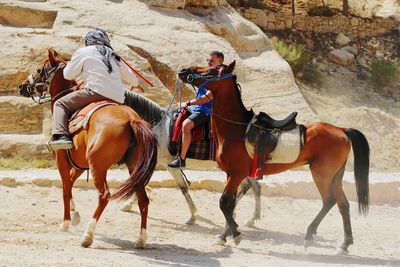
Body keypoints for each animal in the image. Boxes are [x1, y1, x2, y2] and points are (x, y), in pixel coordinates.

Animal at [18, 49, 158, 250]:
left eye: (39, 69)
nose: (22, 86)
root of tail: (132, 119)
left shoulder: (62, 159)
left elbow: (65, 187)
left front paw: (66, 222)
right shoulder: (79, 164)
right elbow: (69, 183)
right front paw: (75, 215)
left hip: (98, 167)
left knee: (104, 196)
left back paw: (88, 235)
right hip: (133, 168)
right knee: (143, 200)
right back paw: (141, 239)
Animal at [177, 62, 370, 255]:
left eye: (212, 69)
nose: (184, 71)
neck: (236, 130)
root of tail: (341, 130)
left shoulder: (237, 174)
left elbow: (225, 203)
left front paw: (236, 235)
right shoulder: (230, 174)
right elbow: (231, 204)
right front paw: (225, 235)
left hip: (322, 174)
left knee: (329, 201)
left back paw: (309, 236)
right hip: (335, 176)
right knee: (343, 204)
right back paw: (344, 245)